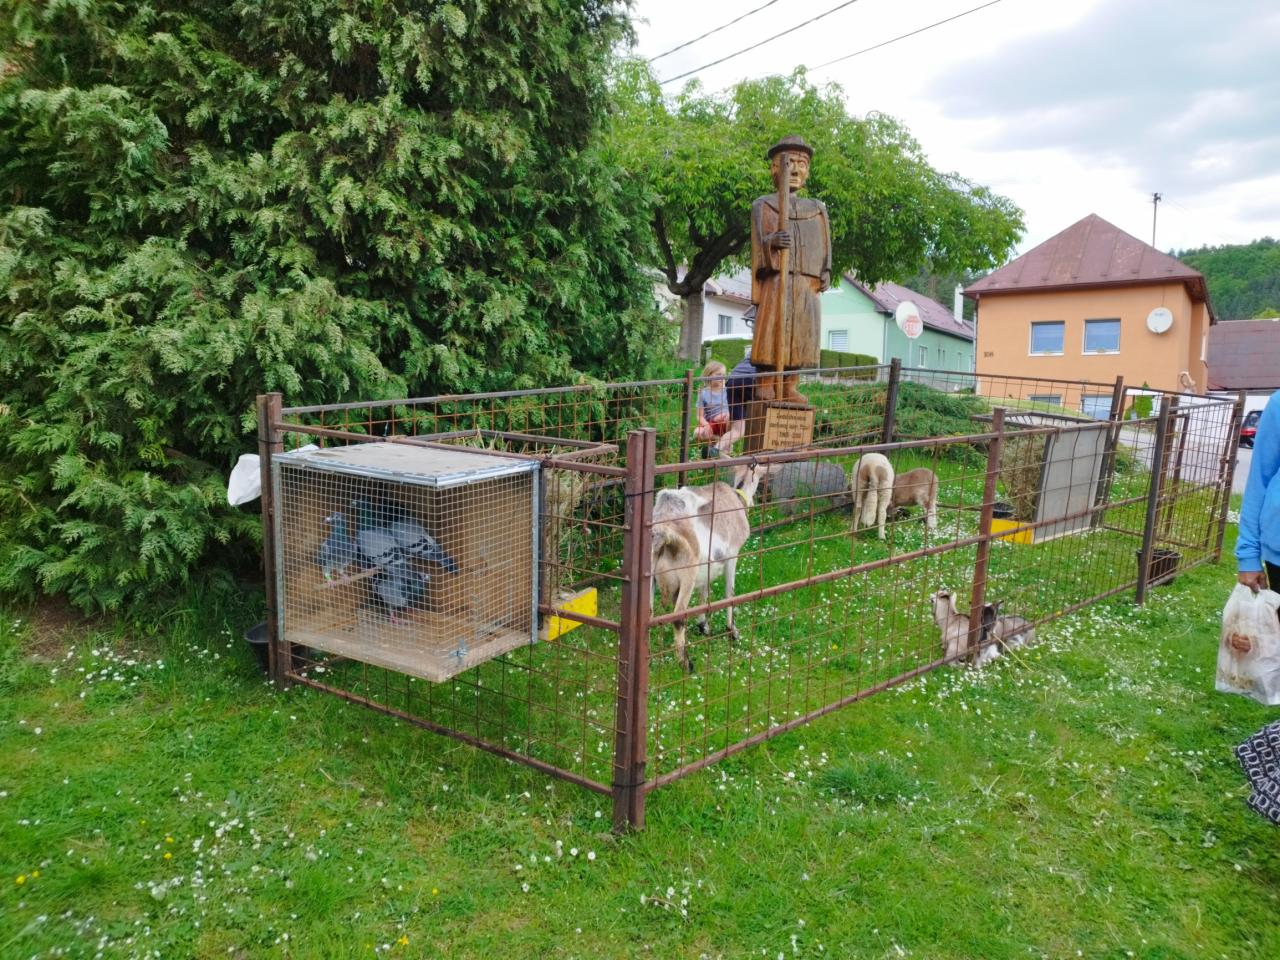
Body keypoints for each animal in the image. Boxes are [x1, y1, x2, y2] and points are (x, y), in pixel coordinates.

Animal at [650, 462, 763, 673]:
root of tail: (663, 533)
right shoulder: (732, 553)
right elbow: (730, 593)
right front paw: (732, 631)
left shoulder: (708, 564)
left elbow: (705, 591)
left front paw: (703, 625)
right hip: (688, 573)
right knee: (678, 617)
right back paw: (686, 664)